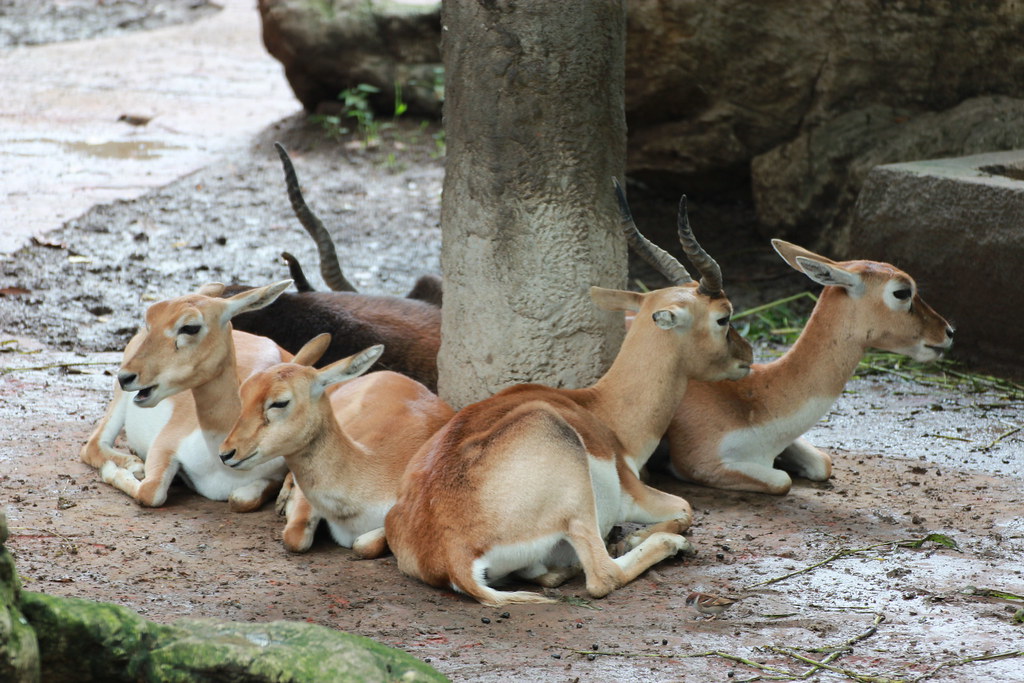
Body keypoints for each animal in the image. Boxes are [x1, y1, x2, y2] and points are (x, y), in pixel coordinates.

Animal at [80, 281, 303, 511]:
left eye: (190, 327)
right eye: (150, 319)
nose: (126, 376)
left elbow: (241, 499)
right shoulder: (164, 445)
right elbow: (150, 492)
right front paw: (113, 470)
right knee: (92, 446)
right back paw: (133, 463)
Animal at [382, 183, 753, 607]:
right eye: (724, 316)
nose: (747, 356)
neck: (603, 413)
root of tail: (451, 555)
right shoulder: (633, 492)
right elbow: (686, 507)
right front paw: (641, 537)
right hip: (576, 498)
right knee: (602, 575)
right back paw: (662, 546)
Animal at [664, 240, 955, 495]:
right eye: (902, 292)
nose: (948, 332)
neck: (757, 399)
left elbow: (823, 463)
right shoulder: (700, 464)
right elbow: (782, 481)